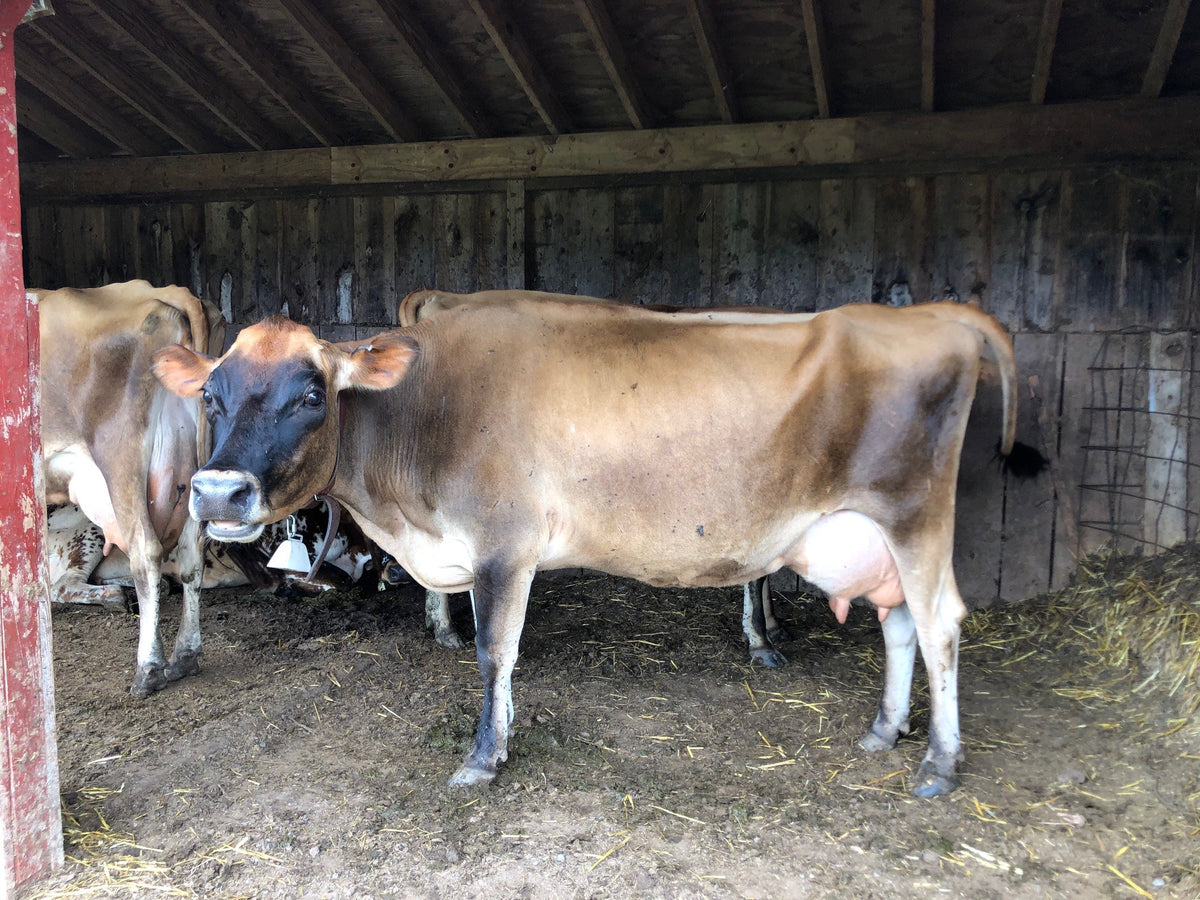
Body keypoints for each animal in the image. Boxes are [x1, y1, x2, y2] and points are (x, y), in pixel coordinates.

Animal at [38, 280, 224, 698]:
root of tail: (164, 292)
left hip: (120, 460)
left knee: (145, 554)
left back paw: (149, 667)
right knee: (192, 556)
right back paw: (185, 655)